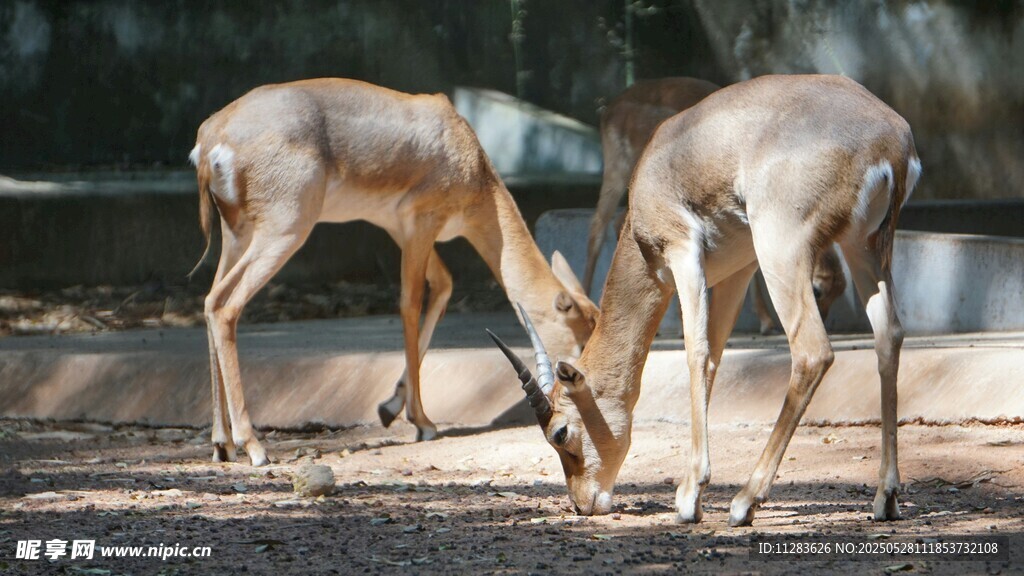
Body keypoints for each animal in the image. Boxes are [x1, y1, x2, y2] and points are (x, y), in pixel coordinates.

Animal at [189, 78, 598, 466]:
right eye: (580, 342)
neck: (468, 157)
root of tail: (213, 135)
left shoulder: (399, 230)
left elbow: (443, 287)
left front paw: (390, 407)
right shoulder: (422, 224)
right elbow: (409, 304)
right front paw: (423, 422)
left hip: (237, 233)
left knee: (209, 301)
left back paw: (222, 443)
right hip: (285, 231)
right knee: (225, 305)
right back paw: (253, 446)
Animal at [586, 77, 848, 333]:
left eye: (841, 290)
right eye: (818, 290)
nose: (825, 322)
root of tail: (608, 110)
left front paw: (764, 320)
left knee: (617, 223)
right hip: (619, 173)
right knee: (597, 227)